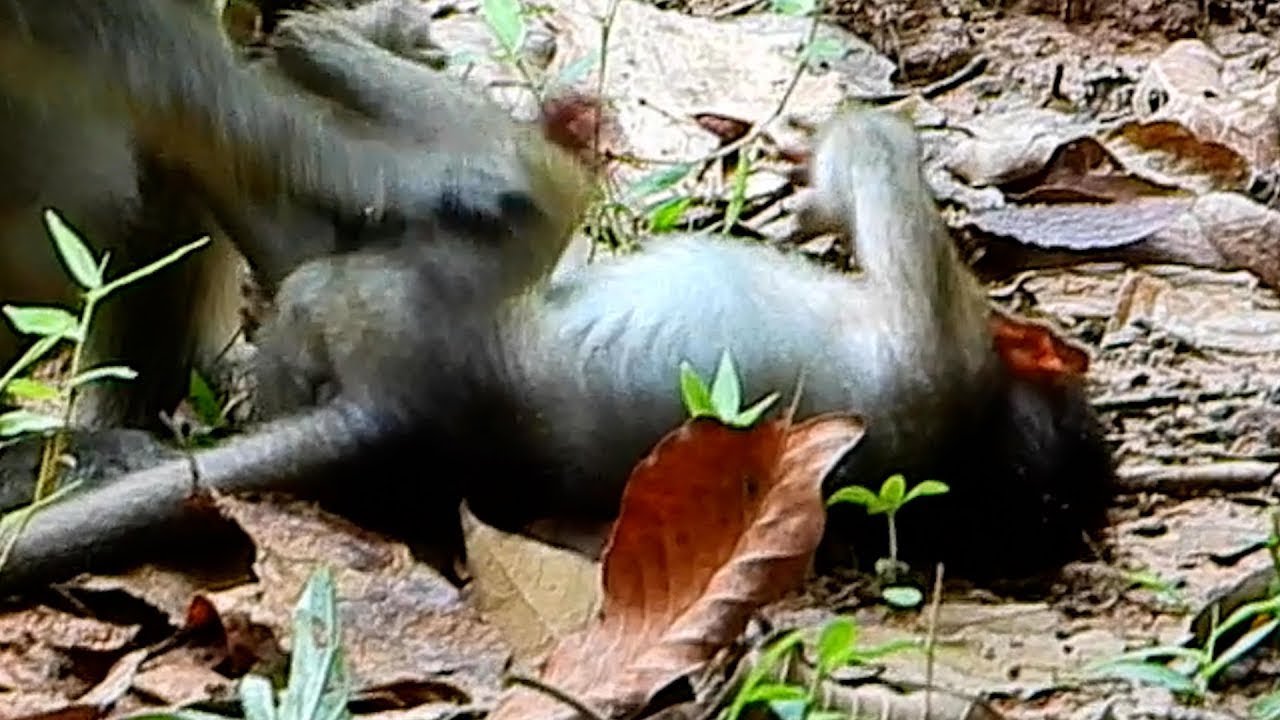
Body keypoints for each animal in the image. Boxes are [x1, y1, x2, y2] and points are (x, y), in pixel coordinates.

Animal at [0, 107, 1114, 595]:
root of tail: (394, 412)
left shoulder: (947, 348)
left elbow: (885, 172)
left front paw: (832, 153)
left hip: (384, 291)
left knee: (512, 197)